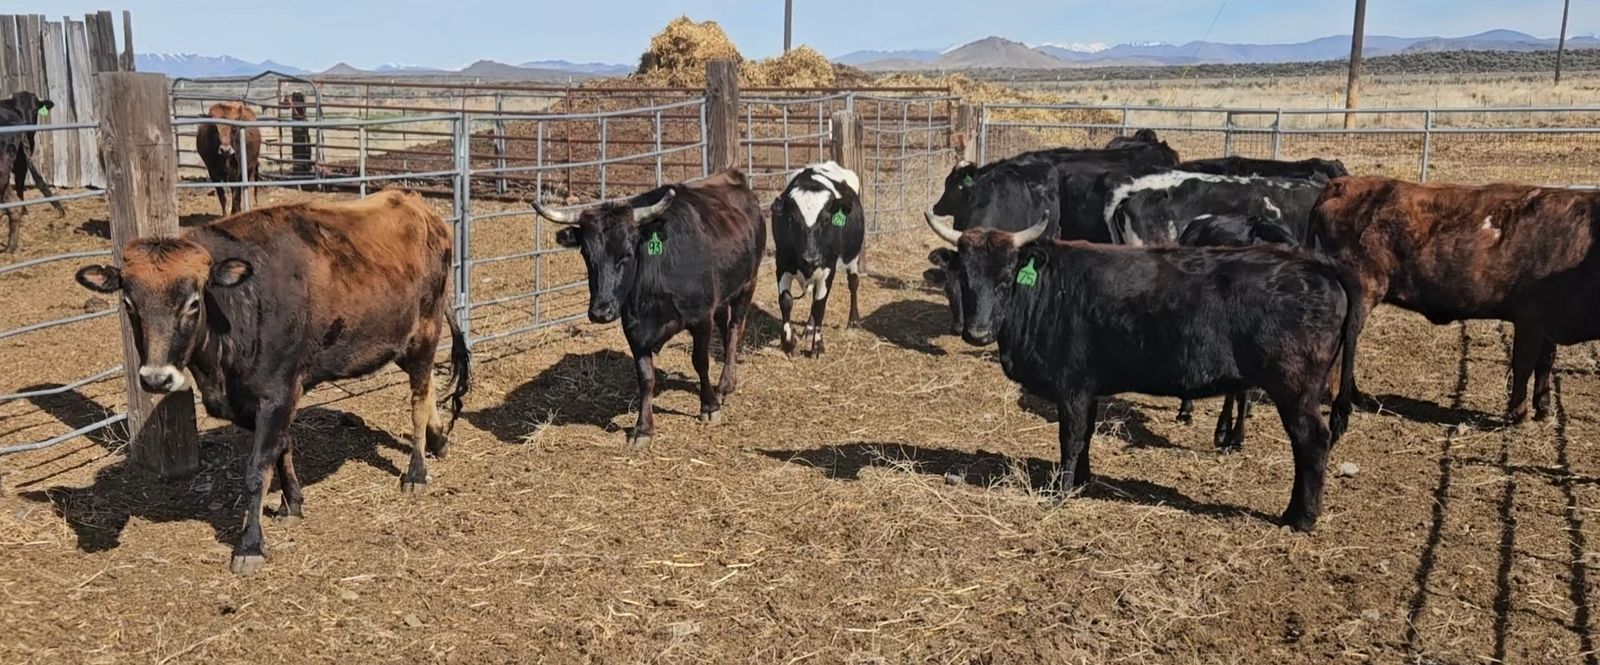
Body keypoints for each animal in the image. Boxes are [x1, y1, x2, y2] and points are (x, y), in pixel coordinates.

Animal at [73, 189, 471, 575]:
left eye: (193, 302)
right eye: (129, 302)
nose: (156, 378)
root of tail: (416, 204)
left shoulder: (276, 393)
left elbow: (256, 469)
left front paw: (250, 545)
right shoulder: (268, 398)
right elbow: (282, 448)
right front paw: (291, 503)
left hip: (425, 333)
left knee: (419, 399)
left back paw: (416, 472)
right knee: (428, 392)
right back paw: (439, 440)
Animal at [533, 169, 764, 448]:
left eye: (627, 253)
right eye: (587, 255)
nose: (601, 312)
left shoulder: (700, 318)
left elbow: (701, 361)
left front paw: (709, 406)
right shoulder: (634, 329)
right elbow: (646, 378)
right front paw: (643, 428)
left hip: (747, 284)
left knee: (734, 329)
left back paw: (726, 384)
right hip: (722, 296)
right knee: (725, 324)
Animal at [770, 161, 864, 356]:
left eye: (826, 219)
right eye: (792, 219)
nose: (811, 258)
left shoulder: (828, 268)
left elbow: (820, 305)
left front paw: (818, 345)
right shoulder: (781, 262)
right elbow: (786, 300)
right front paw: (788, 342)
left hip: (853, 256)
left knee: (853, 283)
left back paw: (853, 321)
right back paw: (809, 328)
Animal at [1312, 176, 1600, 424]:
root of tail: (1342, 183)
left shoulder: (1549, 324)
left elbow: (1545, 363)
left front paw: (1544, 409)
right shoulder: (1529, 320)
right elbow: (1523, 364)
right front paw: (1518, 413)